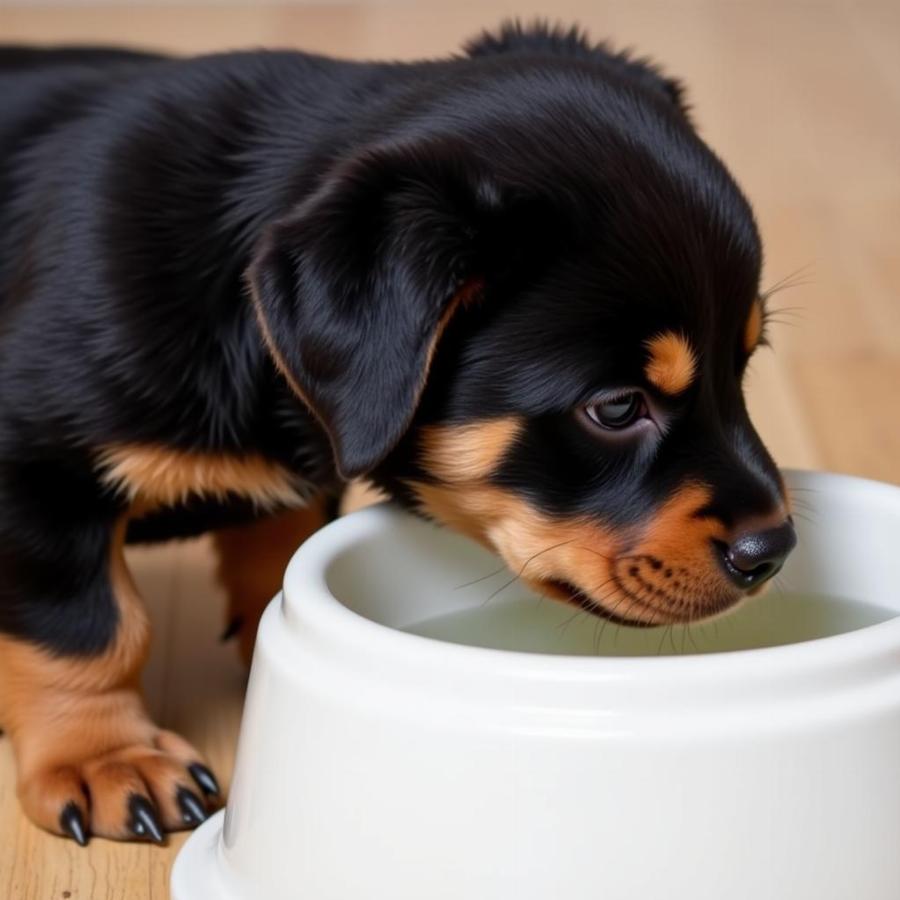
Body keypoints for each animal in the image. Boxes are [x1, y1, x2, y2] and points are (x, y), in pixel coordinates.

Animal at [0, 24, 796, 848]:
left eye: (747, 360)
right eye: (615, 407)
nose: (772, 550)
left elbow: (277, 550)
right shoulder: (37, 468)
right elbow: (87, 626)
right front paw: (105, 758)